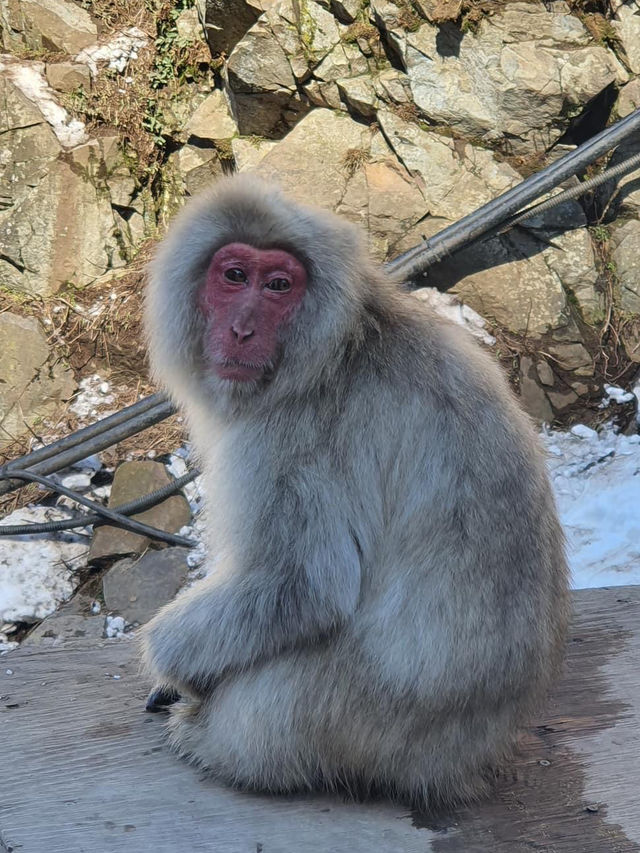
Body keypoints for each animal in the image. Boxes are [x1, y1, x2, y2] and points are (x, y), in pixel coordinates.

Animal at [141, 171, 568, 804]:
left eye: (278, 285)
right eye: (234, 276)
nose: (241, 329)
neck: (336, 346)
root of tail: (464, 761)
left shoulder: (292, 439)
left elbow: (303, 584)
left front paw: (170, 665)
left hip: (344, 716)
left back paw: (203, 734)